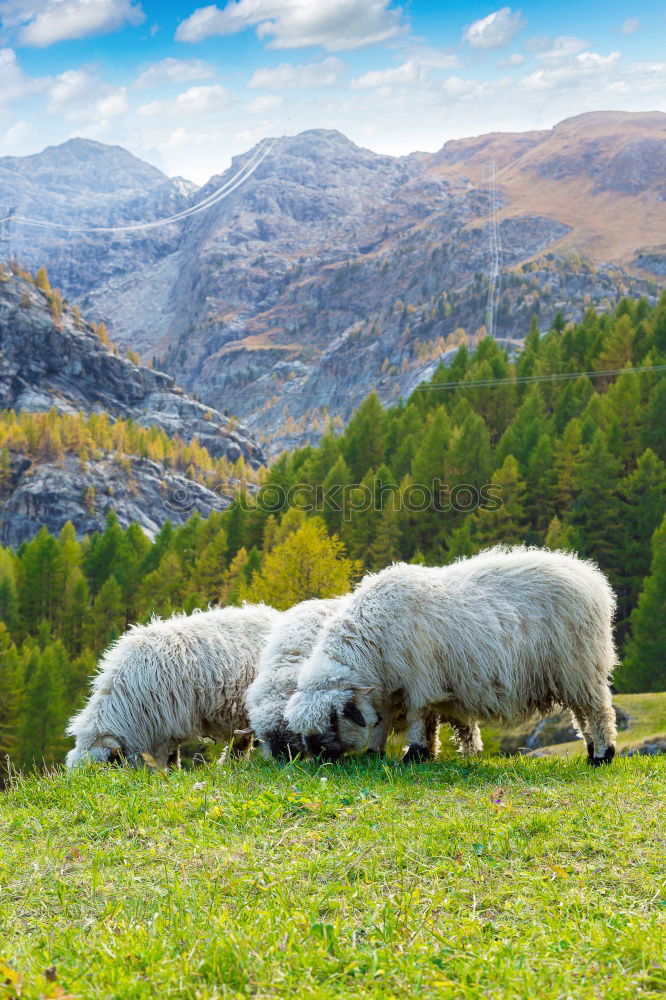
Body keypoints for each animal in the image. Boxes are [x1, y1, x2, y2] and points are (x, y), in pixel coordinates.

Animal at [282, 548, 616, 764]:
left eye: (332, 720)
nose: (318, 758)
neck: (371, 636)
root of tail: (587, 574)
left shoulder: (418, 680)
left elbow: (418, 718)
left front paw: (414, 755)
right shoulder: (393, 688)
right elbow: (387, 722)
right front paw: (382, 753)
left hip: (579, 663)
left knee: (597, 710)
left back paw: (602, 754)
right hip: (570, 672)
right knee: (581, 713)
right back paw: (590, 749)